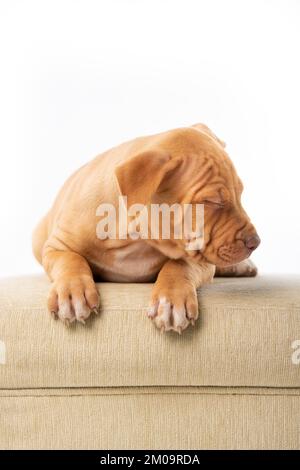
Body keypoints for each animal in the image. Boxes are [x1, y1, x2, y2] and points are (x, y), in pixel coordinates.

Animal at [31, 123, 258, 332]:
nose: (256, 242)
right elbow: (70, 259)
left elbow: (180, 265)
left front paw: (171, 300)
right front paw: (71, 293)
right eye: (212, 202)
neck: (135, 239)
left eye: (240, 194)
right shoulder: (56, 246)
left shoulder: (199, 256)